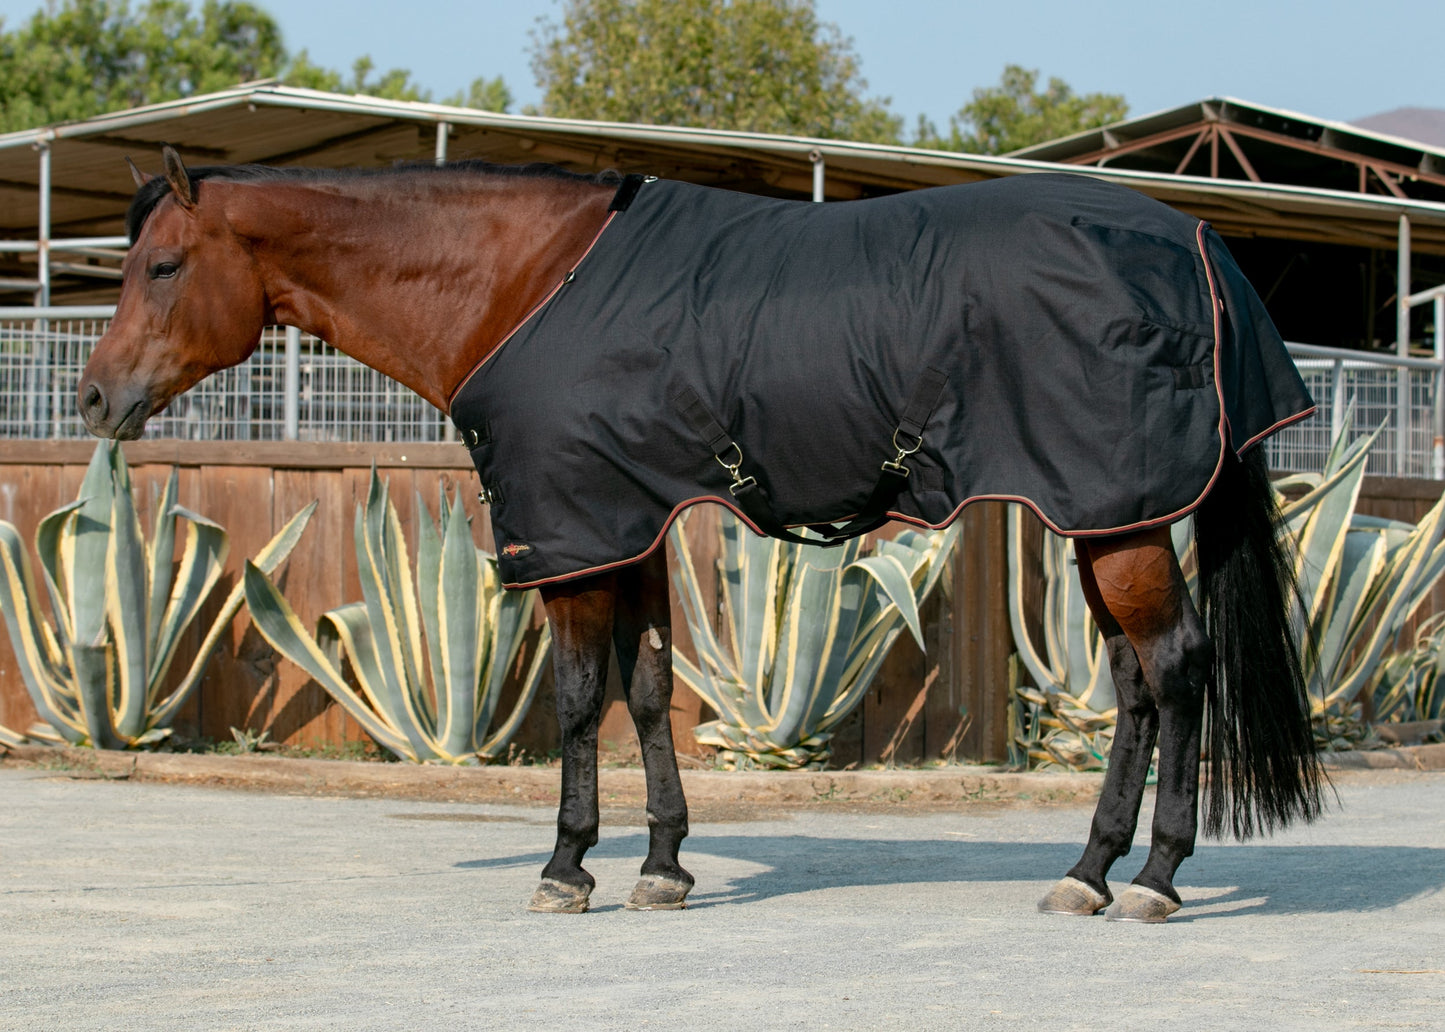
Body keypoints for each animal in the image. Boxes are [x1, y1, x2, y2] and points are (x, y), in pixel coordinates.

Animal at [78, 146, 1324, 923]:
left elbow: (577, 698)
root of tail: (1197, 243)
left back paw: (1151, 877)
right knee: (1134, 684)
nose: (94, 399)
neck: (525, 280)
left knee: (1176, 669)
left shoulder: (572, 533)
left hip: (1117, 521)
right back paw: (1090, 871)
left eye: (164, 265)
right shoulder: (627, 524)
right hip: (1100, 516)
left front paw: (566, 867)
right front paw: (664, 866)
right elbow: (644, 692)